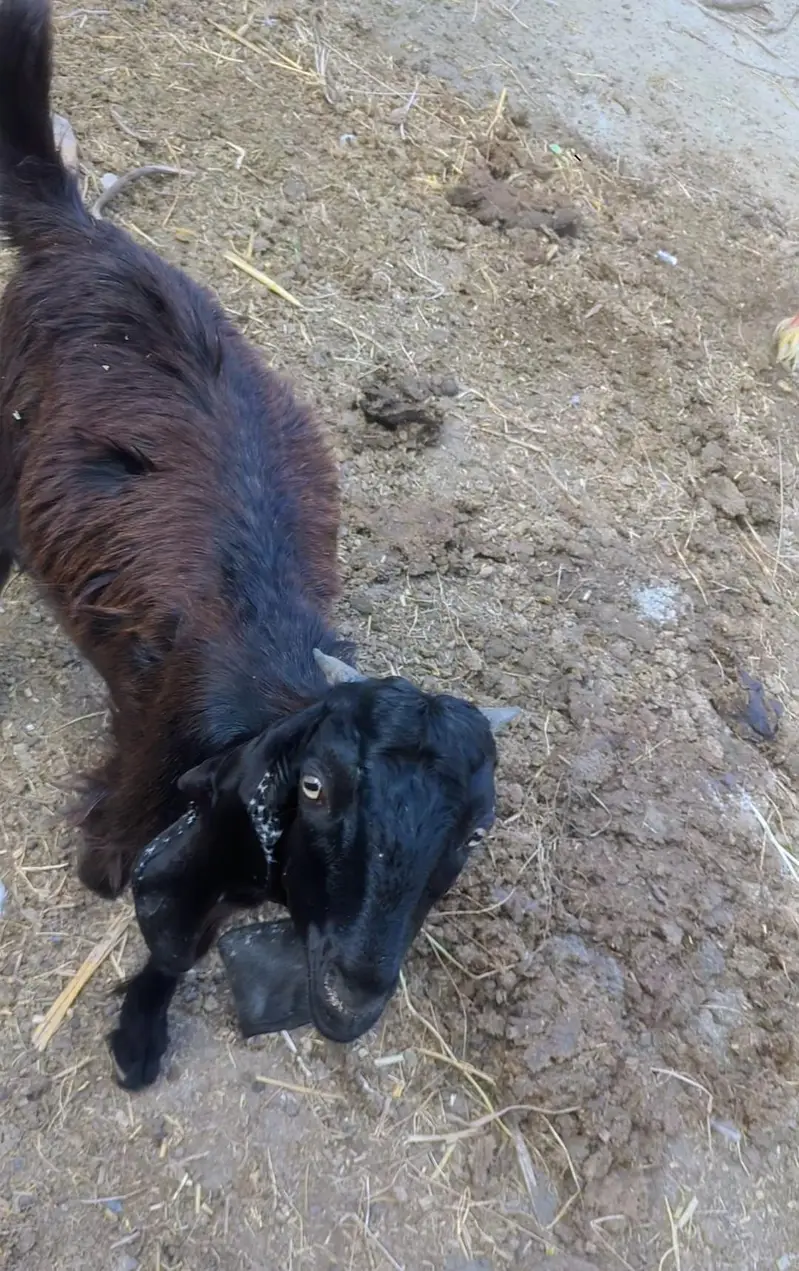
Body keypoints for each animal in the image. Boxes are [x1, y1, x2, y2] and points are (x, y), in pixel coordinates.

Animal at [0, 0, 519, 1089]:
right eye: (316, 788)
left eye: (473, 830)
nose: (354, 993)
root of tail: (81, 228)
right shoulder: (151, 789)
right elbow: (152, 920)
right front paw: (136, 1038)